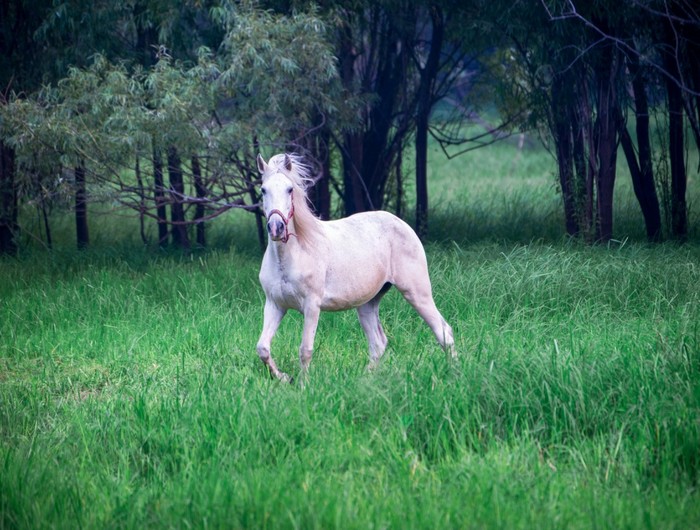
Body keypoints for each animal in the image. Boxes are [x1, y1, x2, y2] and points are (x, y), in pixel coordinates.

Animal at [254, 153, 456, 380]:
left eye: (290, 189)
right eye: (263, 190)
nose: (276, 228)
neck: (290, 257)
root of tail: (403, 224)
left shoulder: (312, 306)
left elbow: (305, 350)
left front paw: (303, 384)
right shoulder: (275, 305)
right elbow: (262, 348)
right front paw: (284, 378)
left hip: (417, 293)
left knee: (444, 332)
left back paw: (454, 373)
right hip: (367, 304)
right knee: (378, 344)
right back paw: (364, 379)